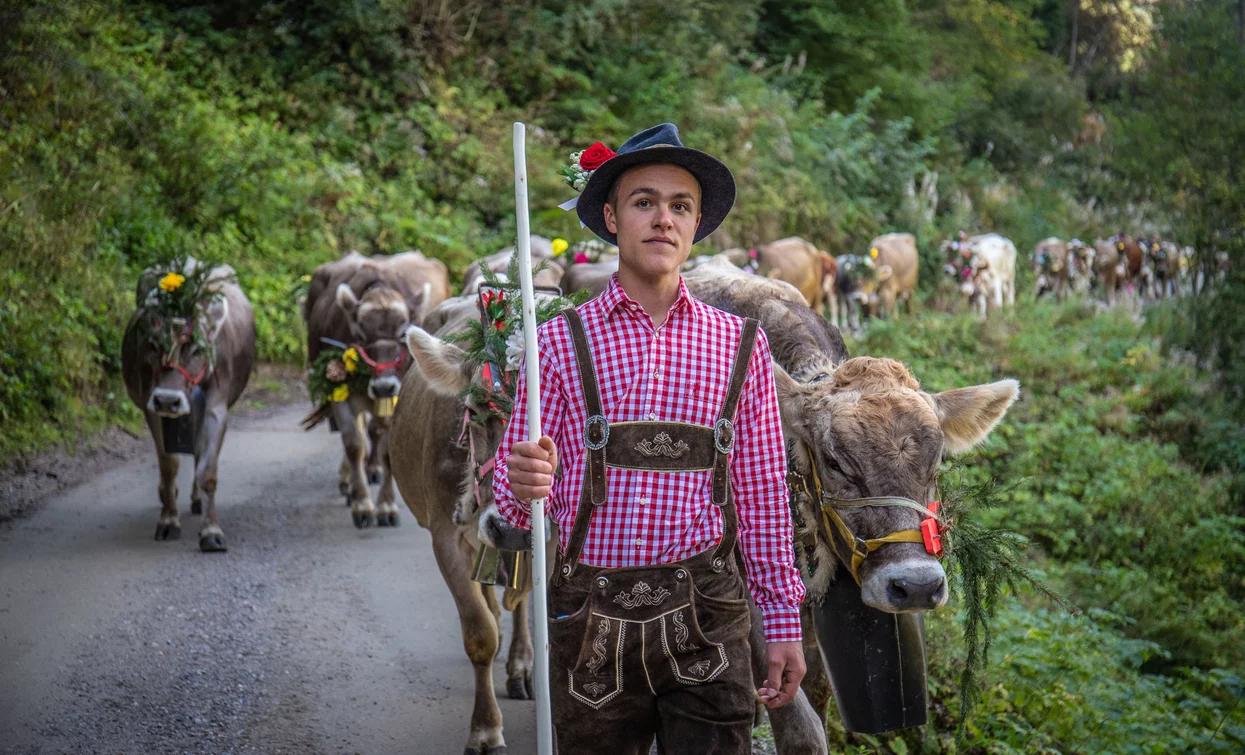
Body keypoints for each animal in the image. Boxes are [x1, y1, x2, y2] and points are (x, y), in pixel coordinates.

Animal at [122, 262, 257, 553]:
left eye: (197, 349)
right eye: (153, 345)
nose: (167, 399)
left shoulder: (217, 406)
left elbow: (208, 470)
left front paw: (211, 532)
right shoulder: (151, 406)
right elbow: (168, 465)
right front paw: (168, 521)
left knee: (197, 451)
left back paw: (195, 500)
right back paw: (168, 494)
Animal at [301, 251, 453, 530]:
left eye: (403, 335)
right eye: (360, 336)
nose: (384, 386)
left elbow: (385, 448)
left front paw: (386, 506)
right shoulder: (339, 390)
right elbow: (353, 444)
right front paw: (362, 504)